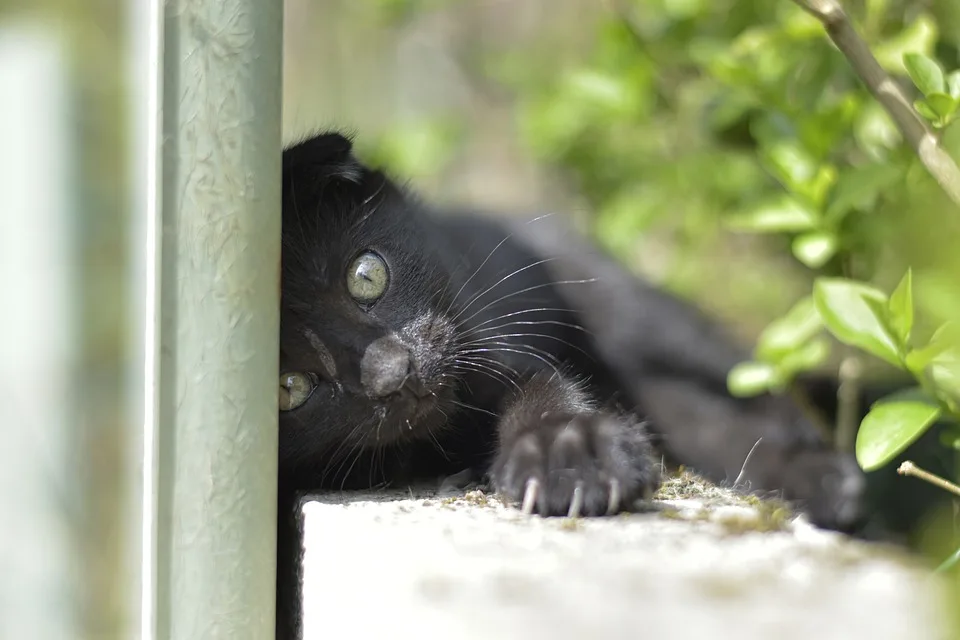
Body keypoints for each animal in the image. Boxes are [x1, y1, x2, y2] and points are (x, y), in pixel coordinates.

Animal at [274, 131, 868, 640]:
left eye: (366, 275)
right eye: (290, 387)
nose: (394, 372)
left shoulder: (497, 354)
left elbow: (541, 389)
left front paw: (568, 451)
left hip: (637, 315)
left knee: (757, 398)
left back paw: (826, 483)